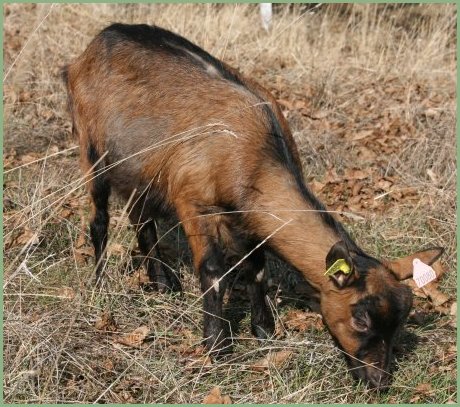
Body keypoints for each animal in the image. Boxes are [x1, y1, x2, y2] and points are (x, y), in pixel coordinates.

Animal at [63, 23, 443, 389]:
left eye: (400, 322)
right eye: (360, 317)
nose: (379, 382)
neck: (254, 155)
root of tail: (90, 48)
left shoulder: (251, 220)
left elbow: (257, 268)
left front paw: (264, 331)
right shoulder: (194, 203)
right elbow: (212, 271)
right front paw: (217, 347)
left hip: (139, 168)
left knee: (141, 217)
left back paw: (164, 283)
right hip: (92, 150)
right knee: (100, 220)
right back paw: (99, 283)